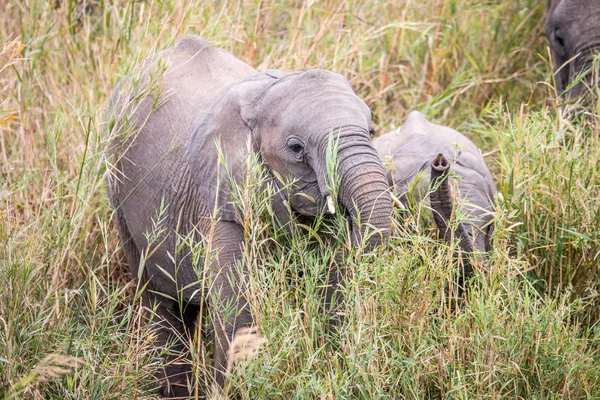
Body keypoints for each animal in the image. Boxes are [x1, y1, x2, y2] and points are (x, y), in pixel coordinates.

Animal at [105, 35, 392, 396]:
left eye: (372, 130)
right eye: (296, 148)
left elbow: (332, 295)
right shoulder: (220, 207)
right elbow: (239, 316)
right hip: (117, 186)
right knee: (160, 300)